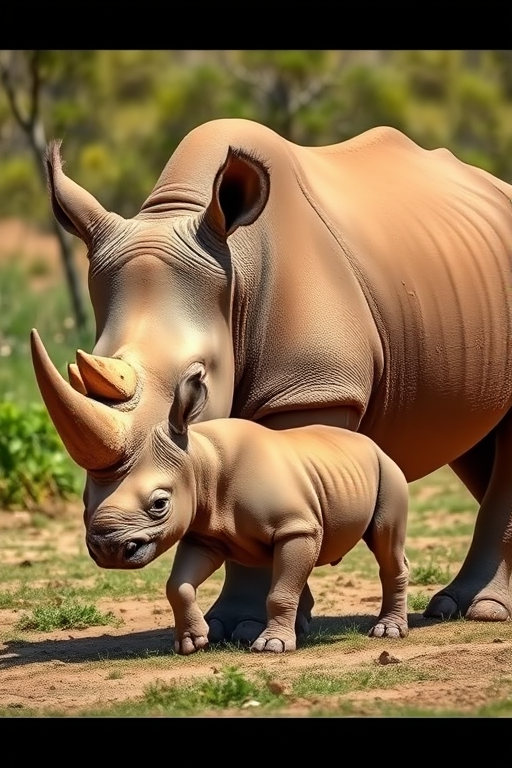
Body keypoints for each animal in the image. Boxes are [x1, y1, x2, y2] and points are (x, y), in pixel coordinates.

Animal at [31, 118, 512, 644]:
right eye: (82, 373)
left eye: (197, 378)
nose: (109, 548)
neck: (235, 263)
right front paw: (237, 626)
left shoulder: (312, 389)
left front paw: (247, 628)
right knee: (474, 438)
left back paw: (476, 610)